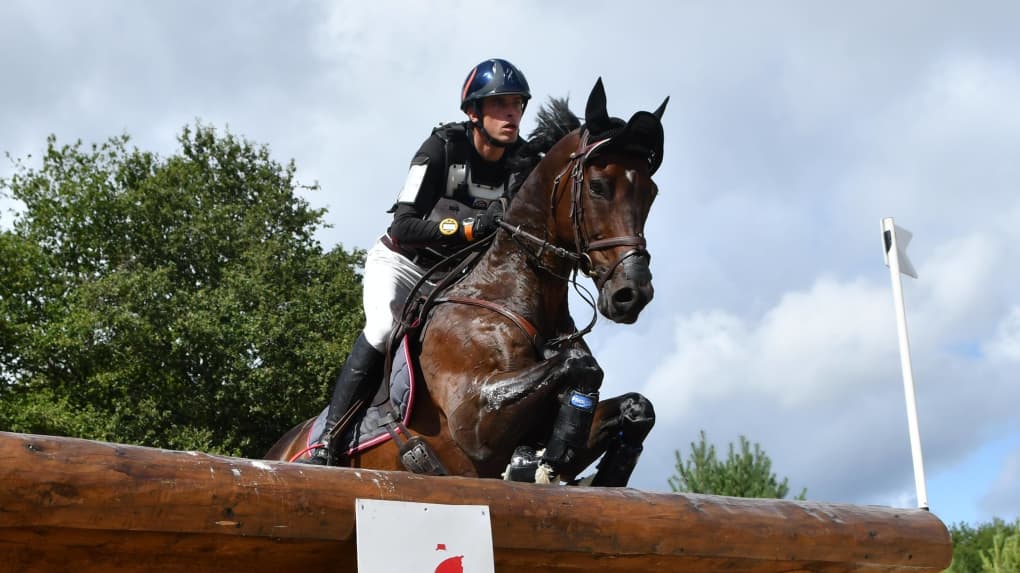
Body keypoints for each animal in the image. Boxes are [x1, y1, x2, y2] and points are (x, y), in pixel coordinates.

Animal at [271, 77, 665, 483]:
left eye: (651, 193)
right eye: (598, 186)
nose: (632, 293)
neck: (512, 292)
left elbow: (637, 406)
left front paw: (589, 470)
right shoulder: (474, 420)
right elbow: (580, 364)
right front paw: (547, 458)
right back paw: (320, 453)